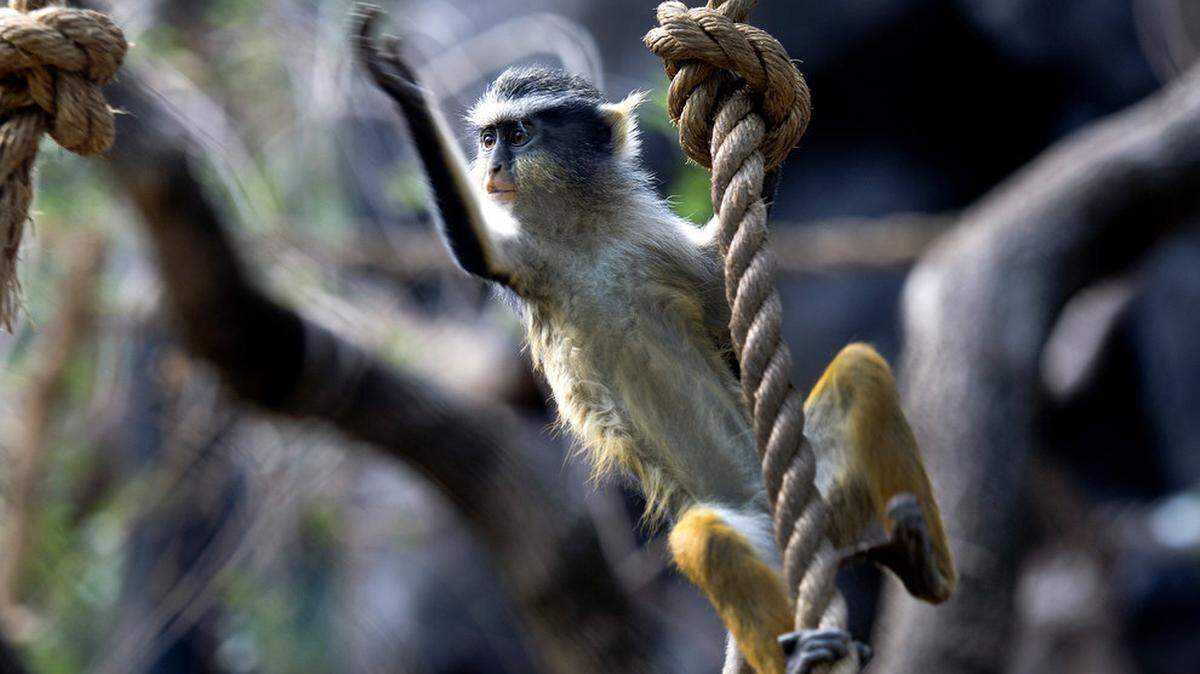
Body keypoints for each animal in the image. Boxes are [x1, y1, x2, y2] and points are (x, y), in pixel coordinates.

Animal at [353, 9, 955, 674]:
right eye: (488, 140)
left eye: (519, 136)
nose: (492, 169)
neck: (586, 230)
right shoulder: (530, 260)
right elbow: (474, 250)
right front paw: (403, 90)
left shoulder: (653, 239)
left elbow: (720, 295)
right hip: (753, 531)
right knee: (702, 539)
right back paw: (805, 649)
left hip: (822, 490)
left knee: (859, 367)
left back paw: (923, 563)